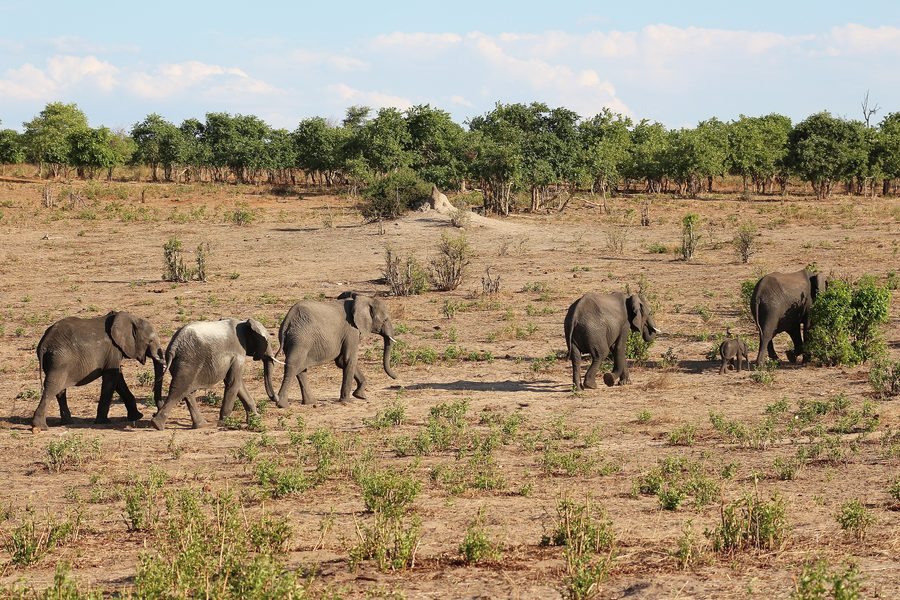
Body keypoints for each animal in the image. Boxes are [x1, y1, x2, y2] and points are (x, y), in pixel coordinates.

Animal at [32, 311, 165, 431]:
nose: (154, 414)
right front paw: (103, 422)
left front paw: (137, 416)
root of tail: (44, 344)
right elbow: (112, 378)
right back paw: (41, 426)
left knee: (59, 390)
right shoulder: (113, 350)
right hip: (60, 361)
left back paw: (67, 422)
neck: (129, 318)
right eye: (150, 341)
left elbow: (118, 378)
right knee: (52, 387)